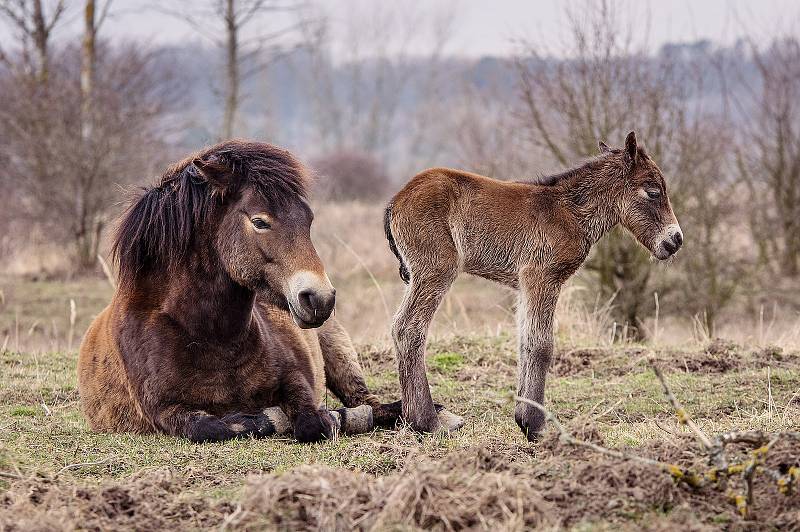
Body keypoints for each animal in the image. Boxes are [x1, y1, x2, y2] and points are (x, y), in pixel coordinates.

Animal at [77, 139, 410, 442]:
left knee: (371, 404)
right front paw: (266, 419)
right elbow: (213, 427)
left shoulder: (295, 376)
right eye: (260, 222)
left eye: (308, 219)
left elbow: (312, 421)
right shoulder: (163, 410)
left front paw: (326, 417)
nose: (320, 298)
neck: (210, 340)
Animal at [386, 131, 680, 438]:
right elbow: (542, 345)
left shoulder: (526, 285)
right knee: (408, 329)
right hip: (435, 271)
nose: (675, 240)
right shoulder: (542, 277)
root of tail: (396, 201)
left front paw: (523, 417)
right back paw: (427, 421)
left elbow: (526, 341)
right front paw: (535, 425)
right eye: (653, 192)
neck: (570, 212)